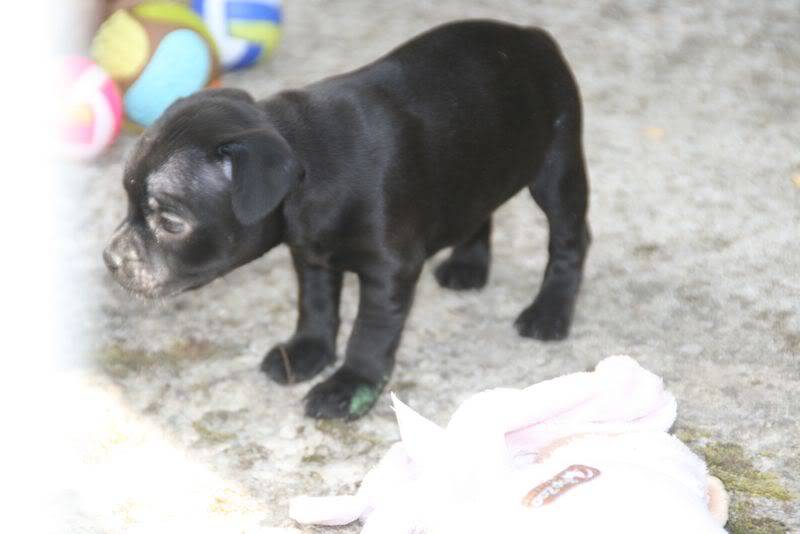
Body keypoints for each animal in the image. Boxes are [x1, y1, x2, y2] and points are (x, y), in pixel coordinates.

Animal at [103, 19, 592, 422]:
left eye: (169, 221)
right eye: (126, 201)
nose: (110, 259)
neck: (307, 161)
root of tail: (531, 35)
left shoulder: (390, 272)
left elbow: (369, 333)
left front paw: (348, 386)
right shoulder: (312, 257)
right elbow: (317, 308)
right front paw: (306, 353)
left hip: (558, 165)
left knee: (570, 239)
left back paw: (549, 313)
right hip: (482, 161)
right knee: (479, 206)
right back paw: (467, 266)